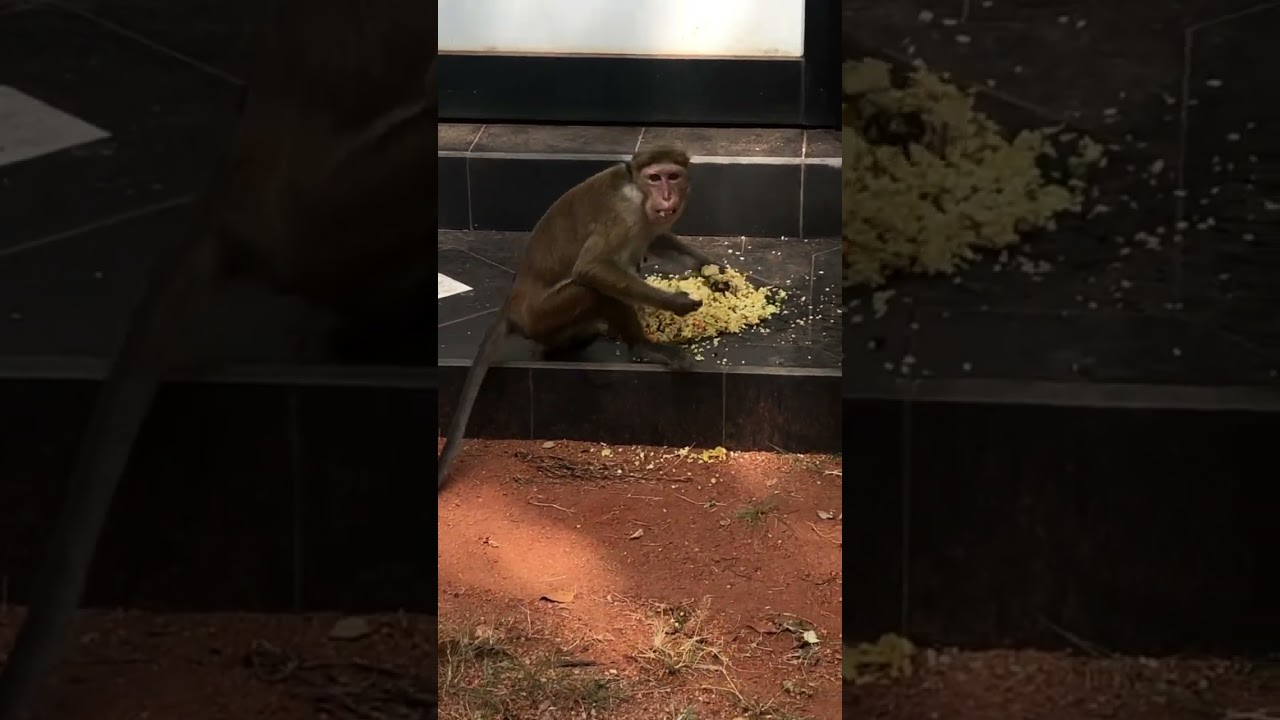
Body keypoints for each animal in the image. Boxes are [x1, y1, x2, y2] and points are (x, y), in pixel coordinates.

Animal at [436, 149, 717, 491]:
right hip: (543, 315)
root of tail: (512, 304)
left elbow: (656, 239)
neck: (637, 193)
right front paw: (675, 302)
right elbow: (592, 268)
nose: (666, 195)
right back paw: (643, 347)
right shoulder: (623, 217)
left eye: (672, 176)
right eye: (655, 178)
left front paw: (716, 273)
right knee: (591, 288)